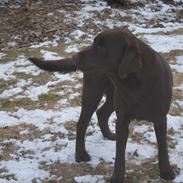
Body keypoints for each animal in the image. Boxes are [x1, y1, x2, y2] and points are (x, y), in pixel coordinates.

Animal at [29, 27, 175, 182]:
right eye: (94, 43)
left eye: (101, 47)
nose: (75, 57)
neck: (136, 84)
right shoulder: (122, 120)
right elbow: (120, 155)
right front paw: (117, 177)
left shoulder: (160, 119)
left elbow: (163, 149)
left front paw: (166, 172)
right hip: (93, 93)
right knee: (82, 123)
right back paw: (81, 155)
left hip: (111, 98)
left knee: (101, 113)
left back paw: (109, 135)